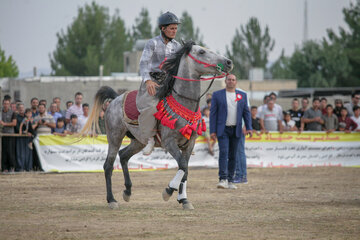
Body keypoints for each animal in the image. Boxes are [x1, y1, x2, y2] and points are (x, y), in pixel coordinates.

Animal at [82, 41, 233, 210]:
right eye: (201, 52)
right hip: (114, 137)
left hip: (138, 141)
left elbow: (185, 170)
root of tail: (115, 99)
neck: (182, 104)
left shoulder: (189, 144)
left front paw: (184, 200)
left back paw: (127, 191)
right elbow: (183, 166)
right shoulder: (169, 142)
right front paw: (168, 191)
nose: (228, 62)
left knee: (124, 155)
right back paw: (112, 200)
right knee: (108, 165)